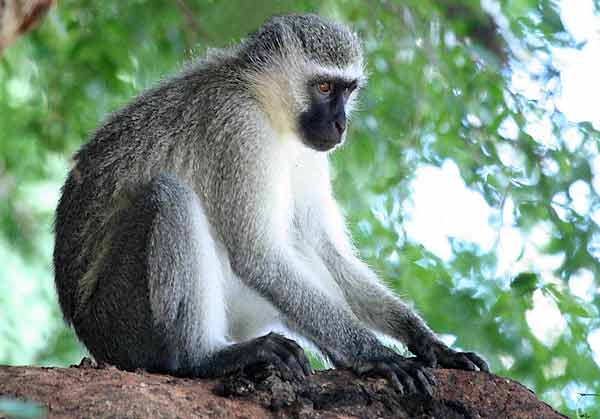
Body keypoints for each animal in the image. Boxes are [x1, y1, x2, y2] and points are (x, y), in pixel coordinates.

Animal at [52, 12, 488, 394]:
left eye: (348, 89)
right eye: (324, 88)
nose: (341, 125)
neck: (263, 101)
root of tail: (89, 334)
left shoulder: (309, 151)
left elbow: (325, 250)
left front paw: (429, 342)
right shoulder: (238, 126)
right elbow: (257, 255)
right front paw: (376, 354)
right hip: (122, 321)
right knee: (169, 195)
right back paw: (204, 357)